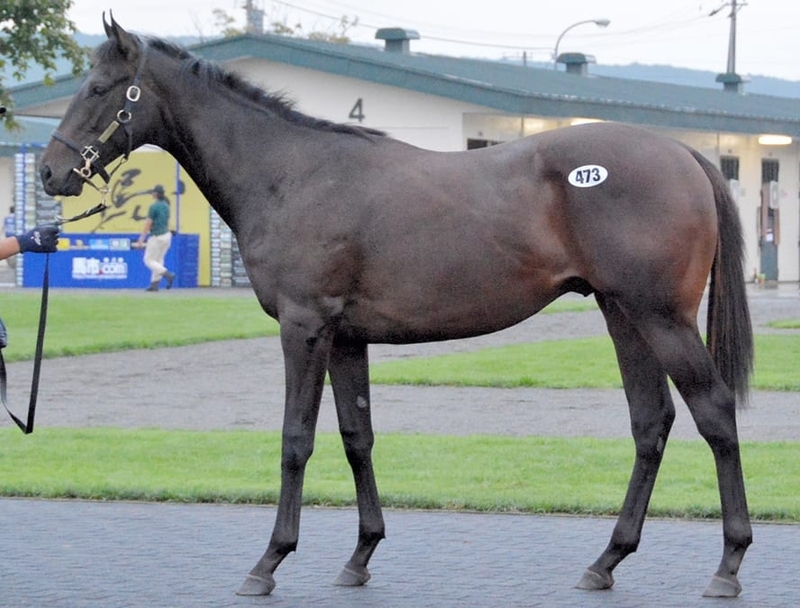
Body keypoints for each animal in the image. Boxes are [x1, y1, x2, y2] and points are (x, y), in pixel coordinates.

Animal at [39, 15, 754, 599]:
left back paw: (728, 564)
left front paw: (269, 562)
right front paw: (360, 556)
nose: (49, 172)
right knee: (651, 422)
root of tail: (683, 151)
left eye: (99, 88)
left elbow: (296, 439)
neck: (291, 173)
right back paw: (606, 561)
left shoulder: (305, 328)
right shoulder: (346, 336)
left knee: (714, 413)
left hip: (660, 318)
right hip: (621, 314)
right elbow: (357, 436)